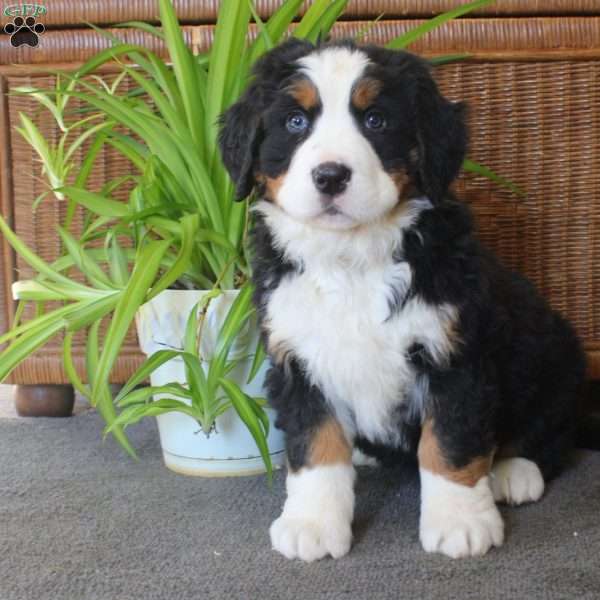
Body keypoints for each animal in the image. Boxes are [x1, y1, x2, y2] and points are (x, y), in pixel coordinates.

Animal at [217, 39, 584, 560]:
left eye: (376, 121)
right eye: (295, 122)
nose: (331, 176)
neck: (351, 258)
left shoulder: (455, 354)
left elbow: (449, 444)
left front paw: (459, 522)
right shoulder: (298, 357)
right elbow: (315, 445)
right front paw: (313, 523)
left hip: (551, 351)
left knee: (550, 430)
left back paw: (513, 472)